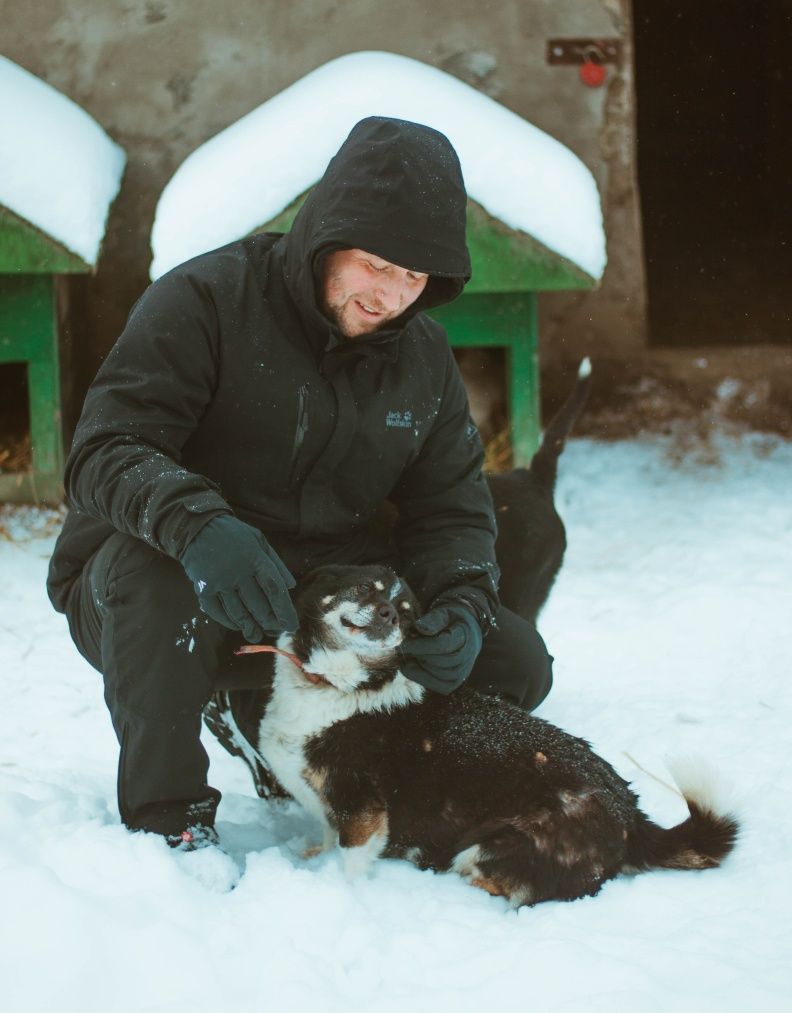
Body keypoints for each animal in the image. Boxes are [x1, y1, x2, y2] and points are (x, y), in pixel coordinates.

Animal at [207, 563, 741, 911]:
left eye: (406, 610)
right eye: (362, 587)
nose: (388, 616)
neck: (344, 685)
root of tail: (632, 818)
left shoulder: (362, 812)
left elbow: (351, 863)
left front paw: (338, 892)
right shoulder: (327, 804)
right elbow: (323, 833)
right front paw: (312, 856)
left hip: (487, 847)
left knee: (508, 887)